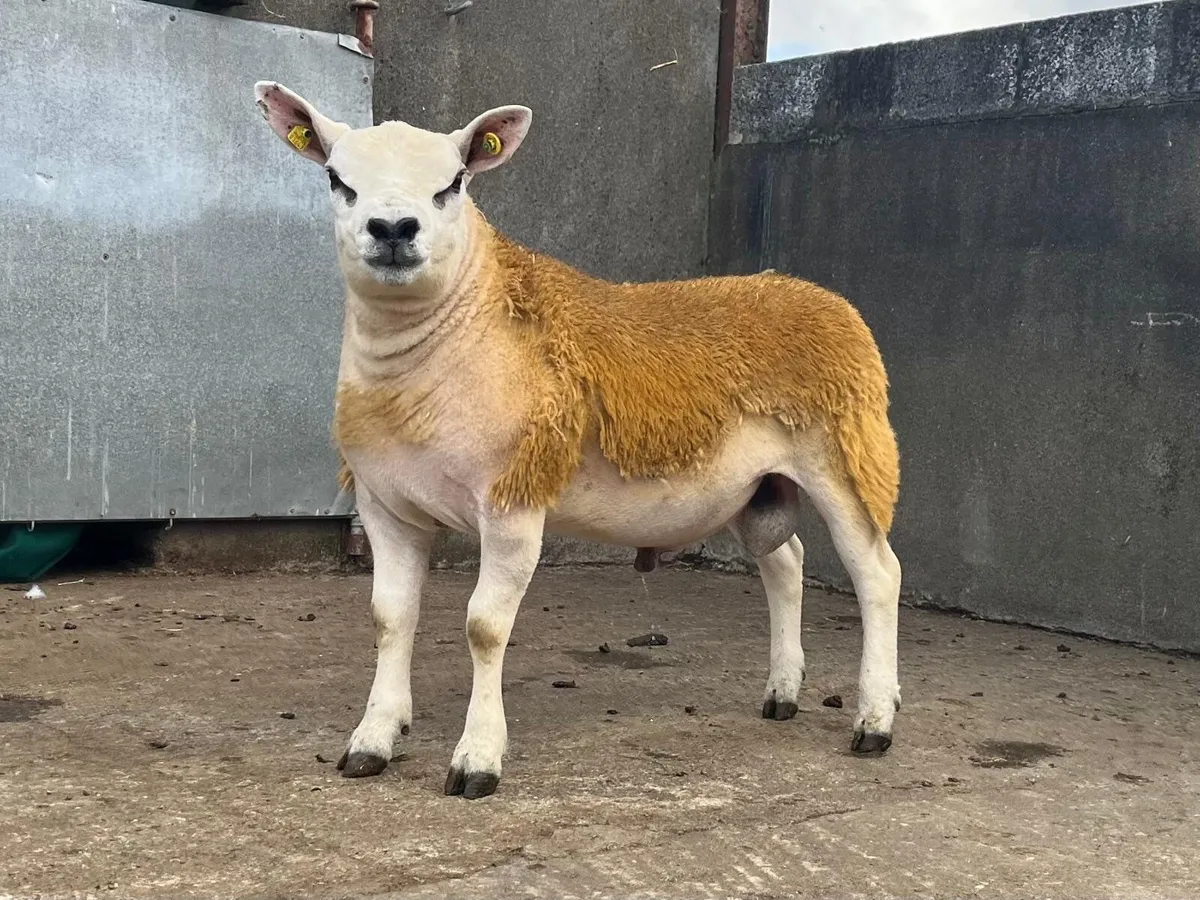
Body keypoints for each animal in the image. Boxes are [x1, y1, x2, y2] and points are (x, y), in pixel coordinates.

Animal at [254, 81, 903, 800]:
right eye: (337, 180)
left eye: (453, 183)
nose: (393, 230)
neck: (454, 336)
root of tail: (817, 297)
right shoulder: (386, 506)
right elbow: (390, 617)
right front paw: (373, 738)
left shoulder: (514, 499)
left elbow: (485, 627)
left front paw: (478, 758)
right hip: (756, 485)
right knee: (784, 563)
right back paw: (783, 692)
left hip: (845, 455)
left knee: (877, 575)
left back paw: (875, 721)